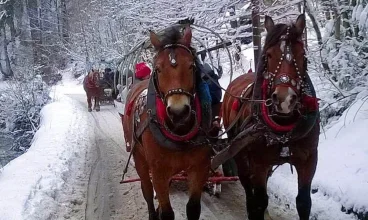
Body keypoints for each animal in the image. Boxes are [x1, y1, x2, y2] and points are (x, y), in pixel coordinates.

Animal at [123, 26, 210, 220]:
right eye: (158, 69)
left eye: (191, 66)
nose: (178, 112)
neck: (179, 133)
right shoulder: (158, 172)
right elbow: (167, 212)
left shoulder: (199, 168)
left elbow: (193, 208)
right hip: (139, 157)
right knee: (147, 190)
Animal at [221, 14, 320, 219]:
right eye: (268, 55)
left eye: (303, 55)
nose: (285, 99)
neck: (284, 130)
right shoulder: (258, 163)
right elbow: (259, 201)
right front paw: (256, 210)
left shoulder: (309, 160)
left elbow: (303, 202)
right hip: (239, 153)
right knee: (247, 186)